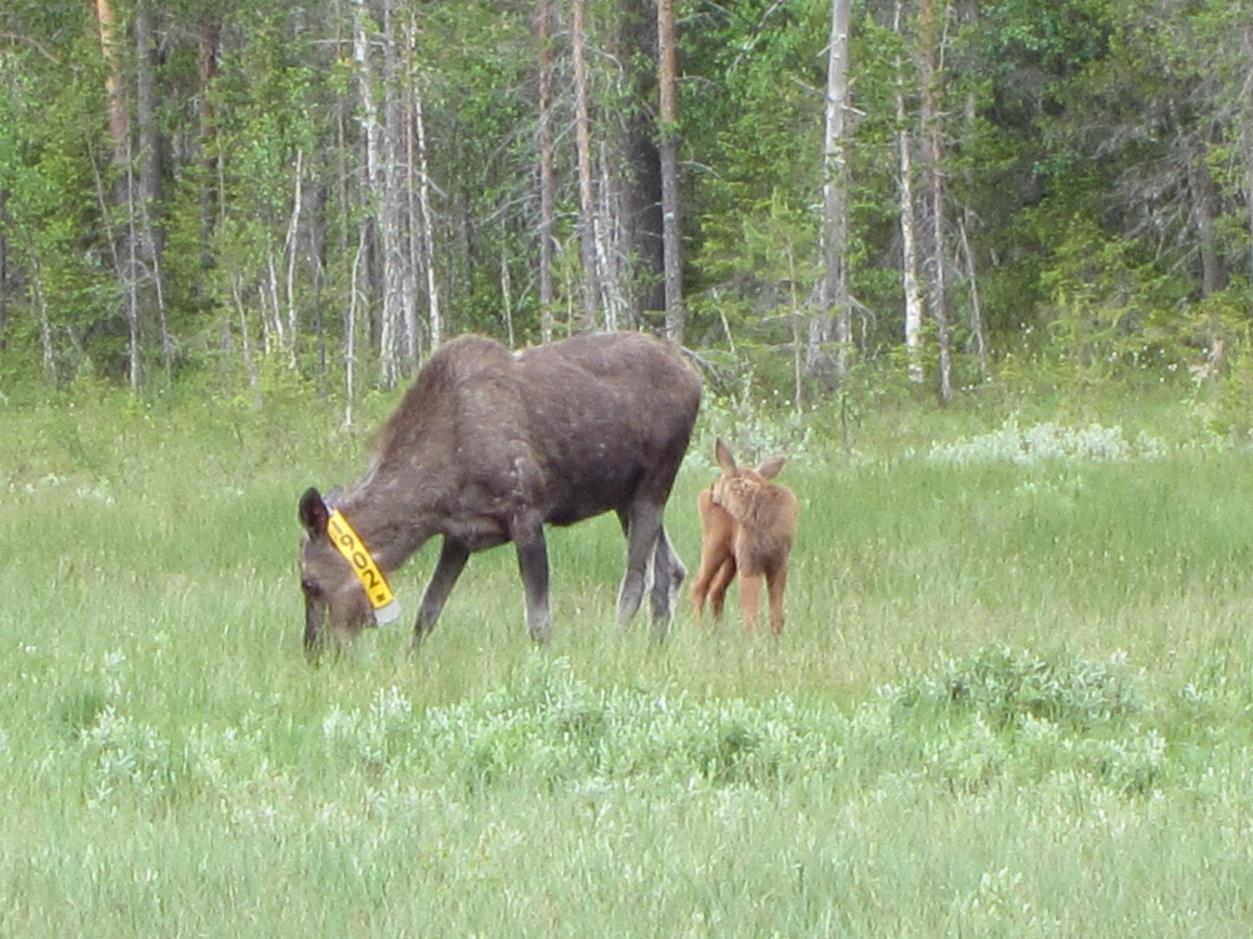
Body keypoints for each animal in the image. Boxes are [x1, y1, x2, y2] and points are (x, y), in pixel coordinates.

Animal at [296, 333, 701, 656]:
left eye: (309, 582)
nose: (315, 652)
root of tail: (695, 377)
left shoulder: (527, 514)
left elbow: (538, 621)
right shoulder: (459, 536)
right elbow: (428, 611)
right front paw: (409, 662)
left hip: (655, 482)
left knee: (637, 577)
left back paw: (613, 647)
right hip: (624, 497)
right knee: (670, 569)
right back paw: (654, 649)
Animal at [691, 438, 796, 629]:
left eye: (721, 477)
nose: (712, 489)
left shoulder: (779, 563)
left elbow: (777, 615)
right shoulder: (749, 563)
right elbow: (750, 614)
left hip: (731, 556)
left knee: (716, 589)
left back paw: (717, 631)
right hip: (715, 542)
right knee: (699, 584)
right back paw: (697, 628)